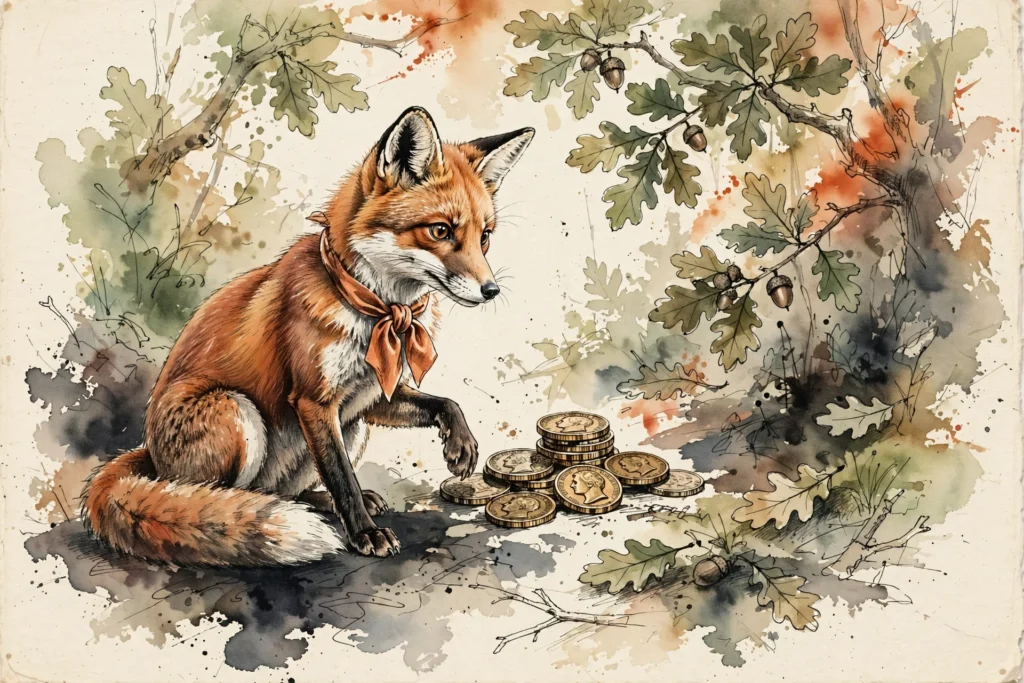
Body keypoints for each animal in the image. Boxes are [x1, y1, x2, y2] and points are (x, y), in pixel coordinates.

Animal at [81, 107, 534, 566]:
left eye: (484, 237)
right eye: (440, 231)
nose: (491, 290)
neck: (380, 312)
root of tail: (151, 458)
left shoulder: (371, 396)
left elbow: (445, 402)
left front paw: (461, 445)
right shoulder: (313, 401)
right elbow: (341, 477)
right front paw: (365, 534)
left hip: (351, 428)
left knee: (277, 492)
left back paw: (314, 502)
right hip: (236, 410)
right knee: (219, 497)